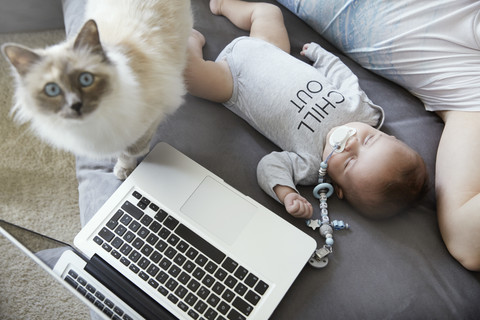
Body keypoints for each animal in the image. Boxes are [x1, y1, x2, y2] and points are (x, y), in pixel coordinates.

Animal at [2, 0, 193, 179]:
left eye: (85, 79)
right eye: (52, 90)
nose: (76, 105)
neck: (93, 123)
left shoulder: (152, 116)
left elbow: (131, 150)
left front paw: (127, 167)